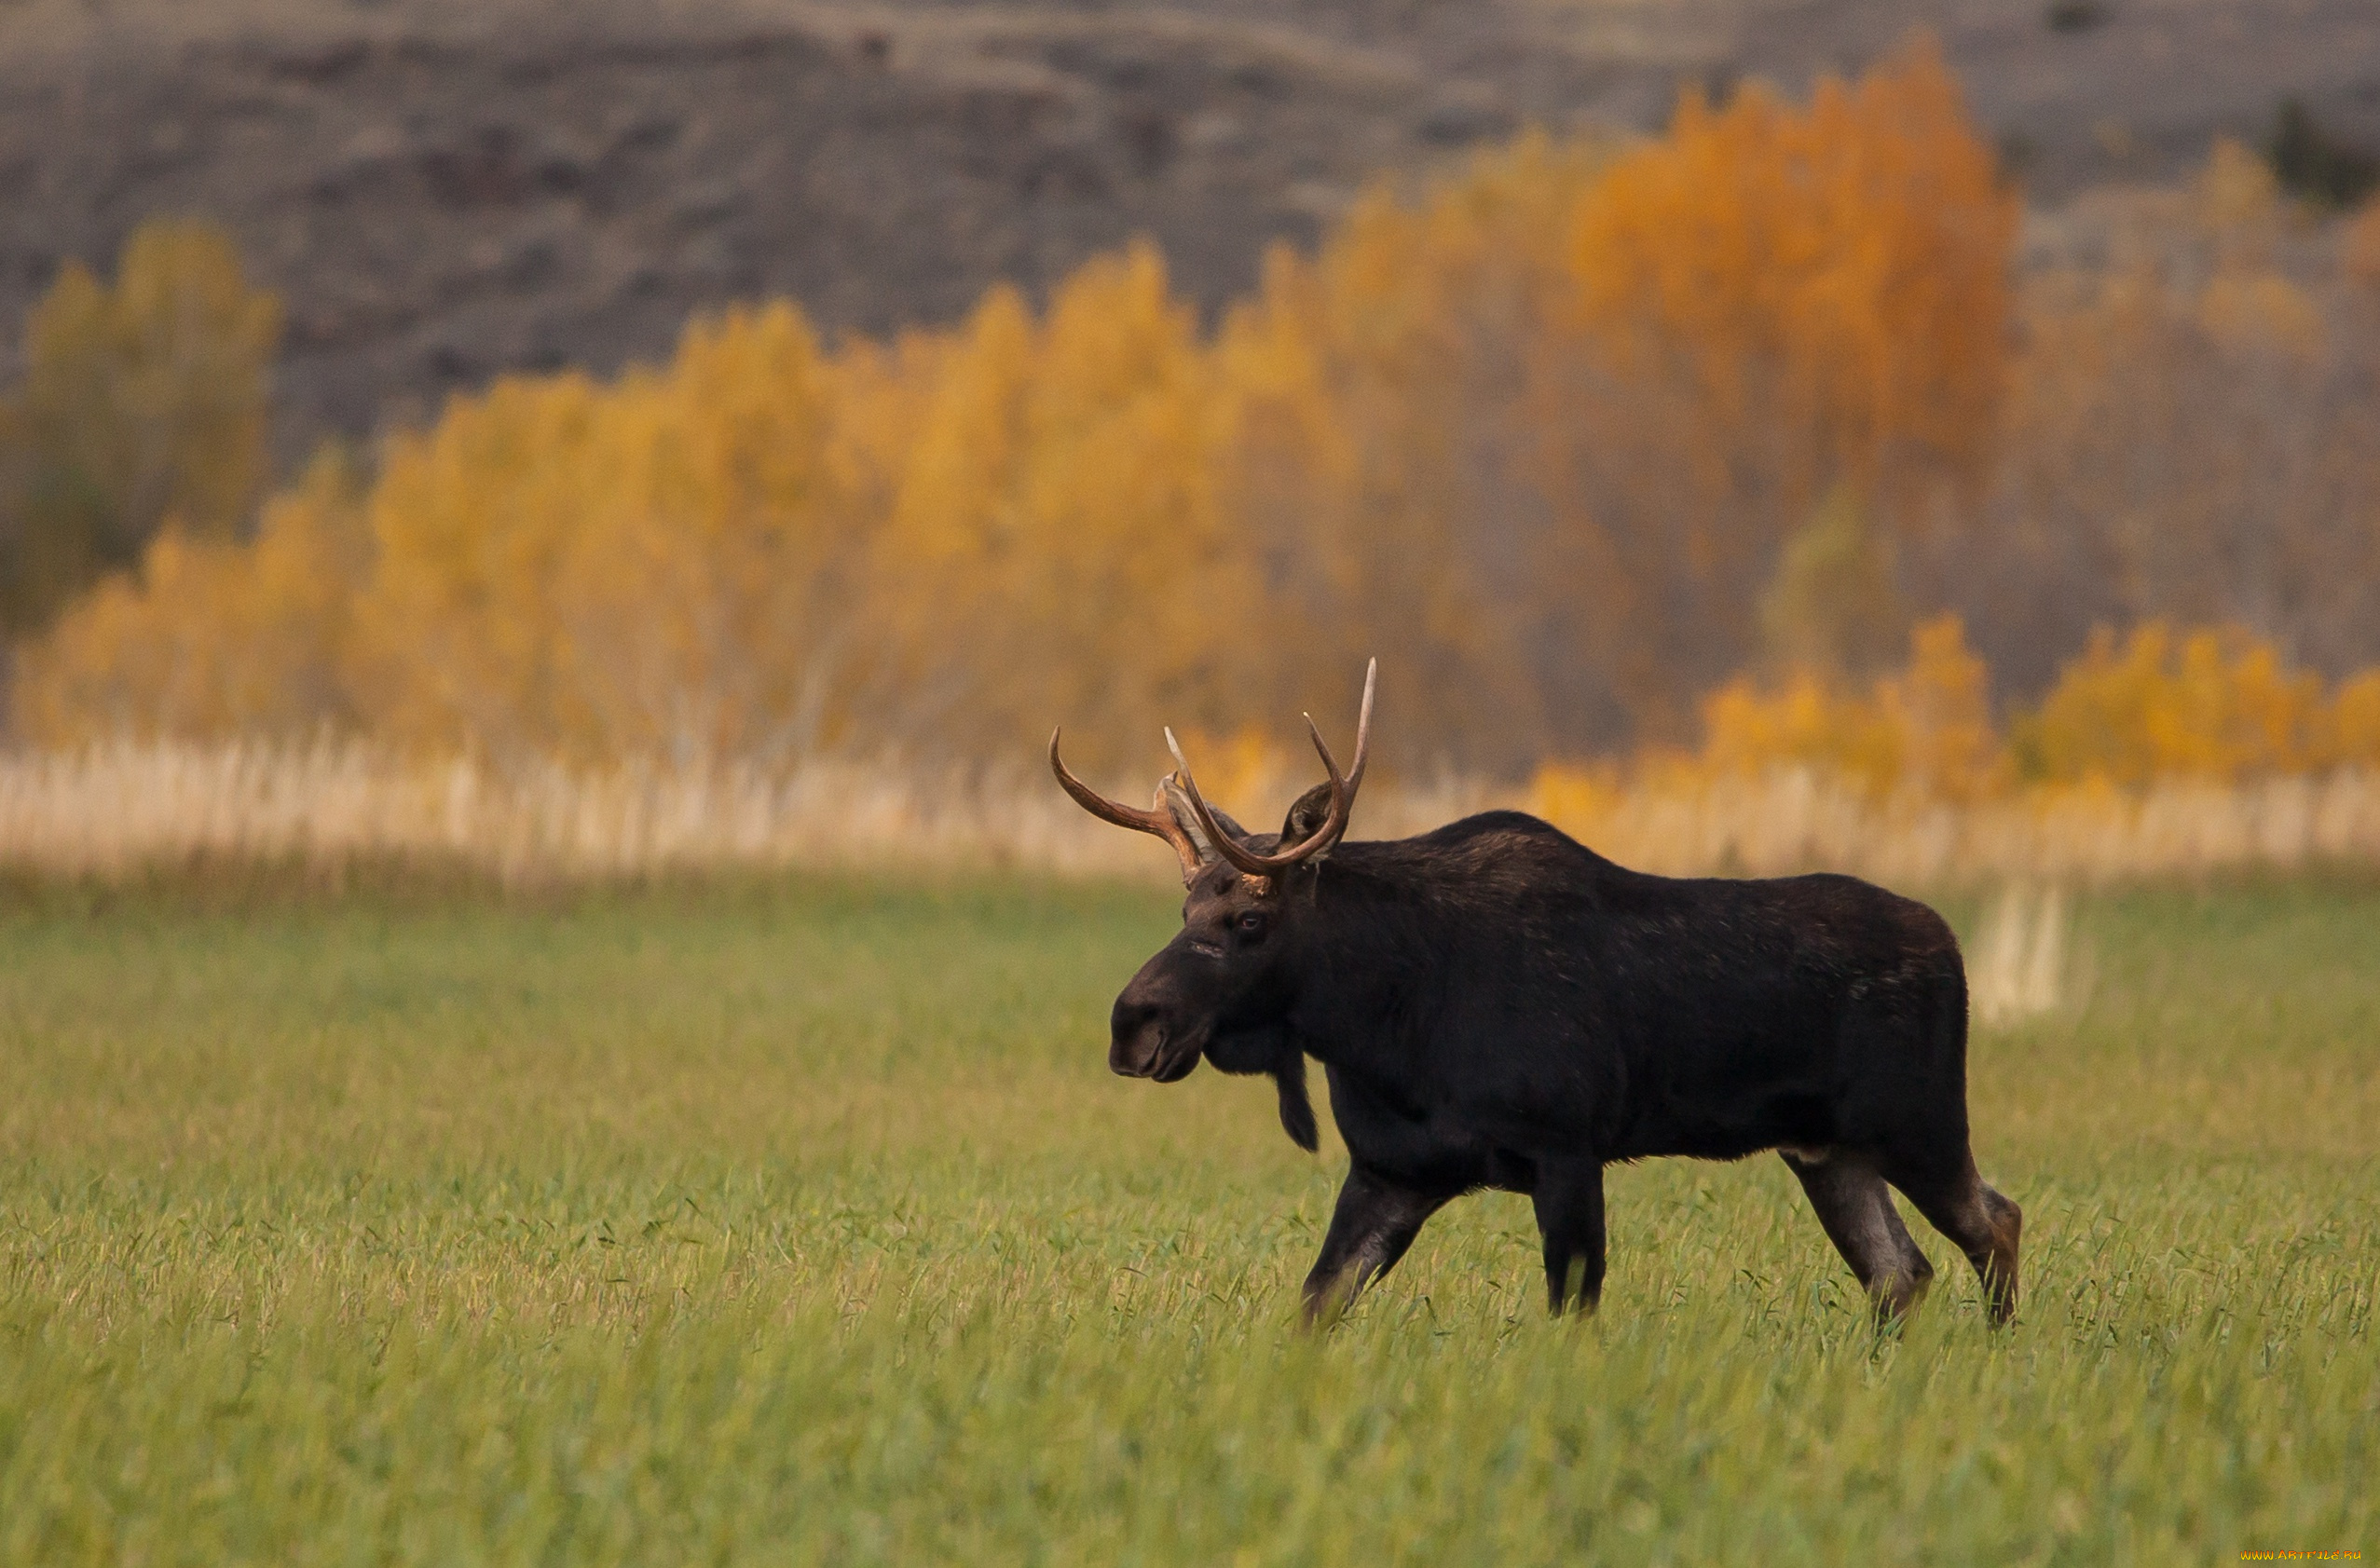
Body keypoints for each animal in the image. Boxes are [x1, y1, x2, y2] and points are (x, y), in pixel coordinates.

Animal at [1061, 661, 2028, 1322]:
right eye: (1186, 904)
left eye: (1251, 920)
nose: (1132, 1024)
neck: (1381, 1025)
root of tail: (1950, 944)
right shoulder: (1392, 1170)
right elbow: (1312, 1307)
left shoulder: (1567, 1150)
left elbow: (1572, 1317)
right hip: (1826, 1149)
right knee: (1901, 1272)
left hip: (1920, 1122)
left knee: (1997, 1220)